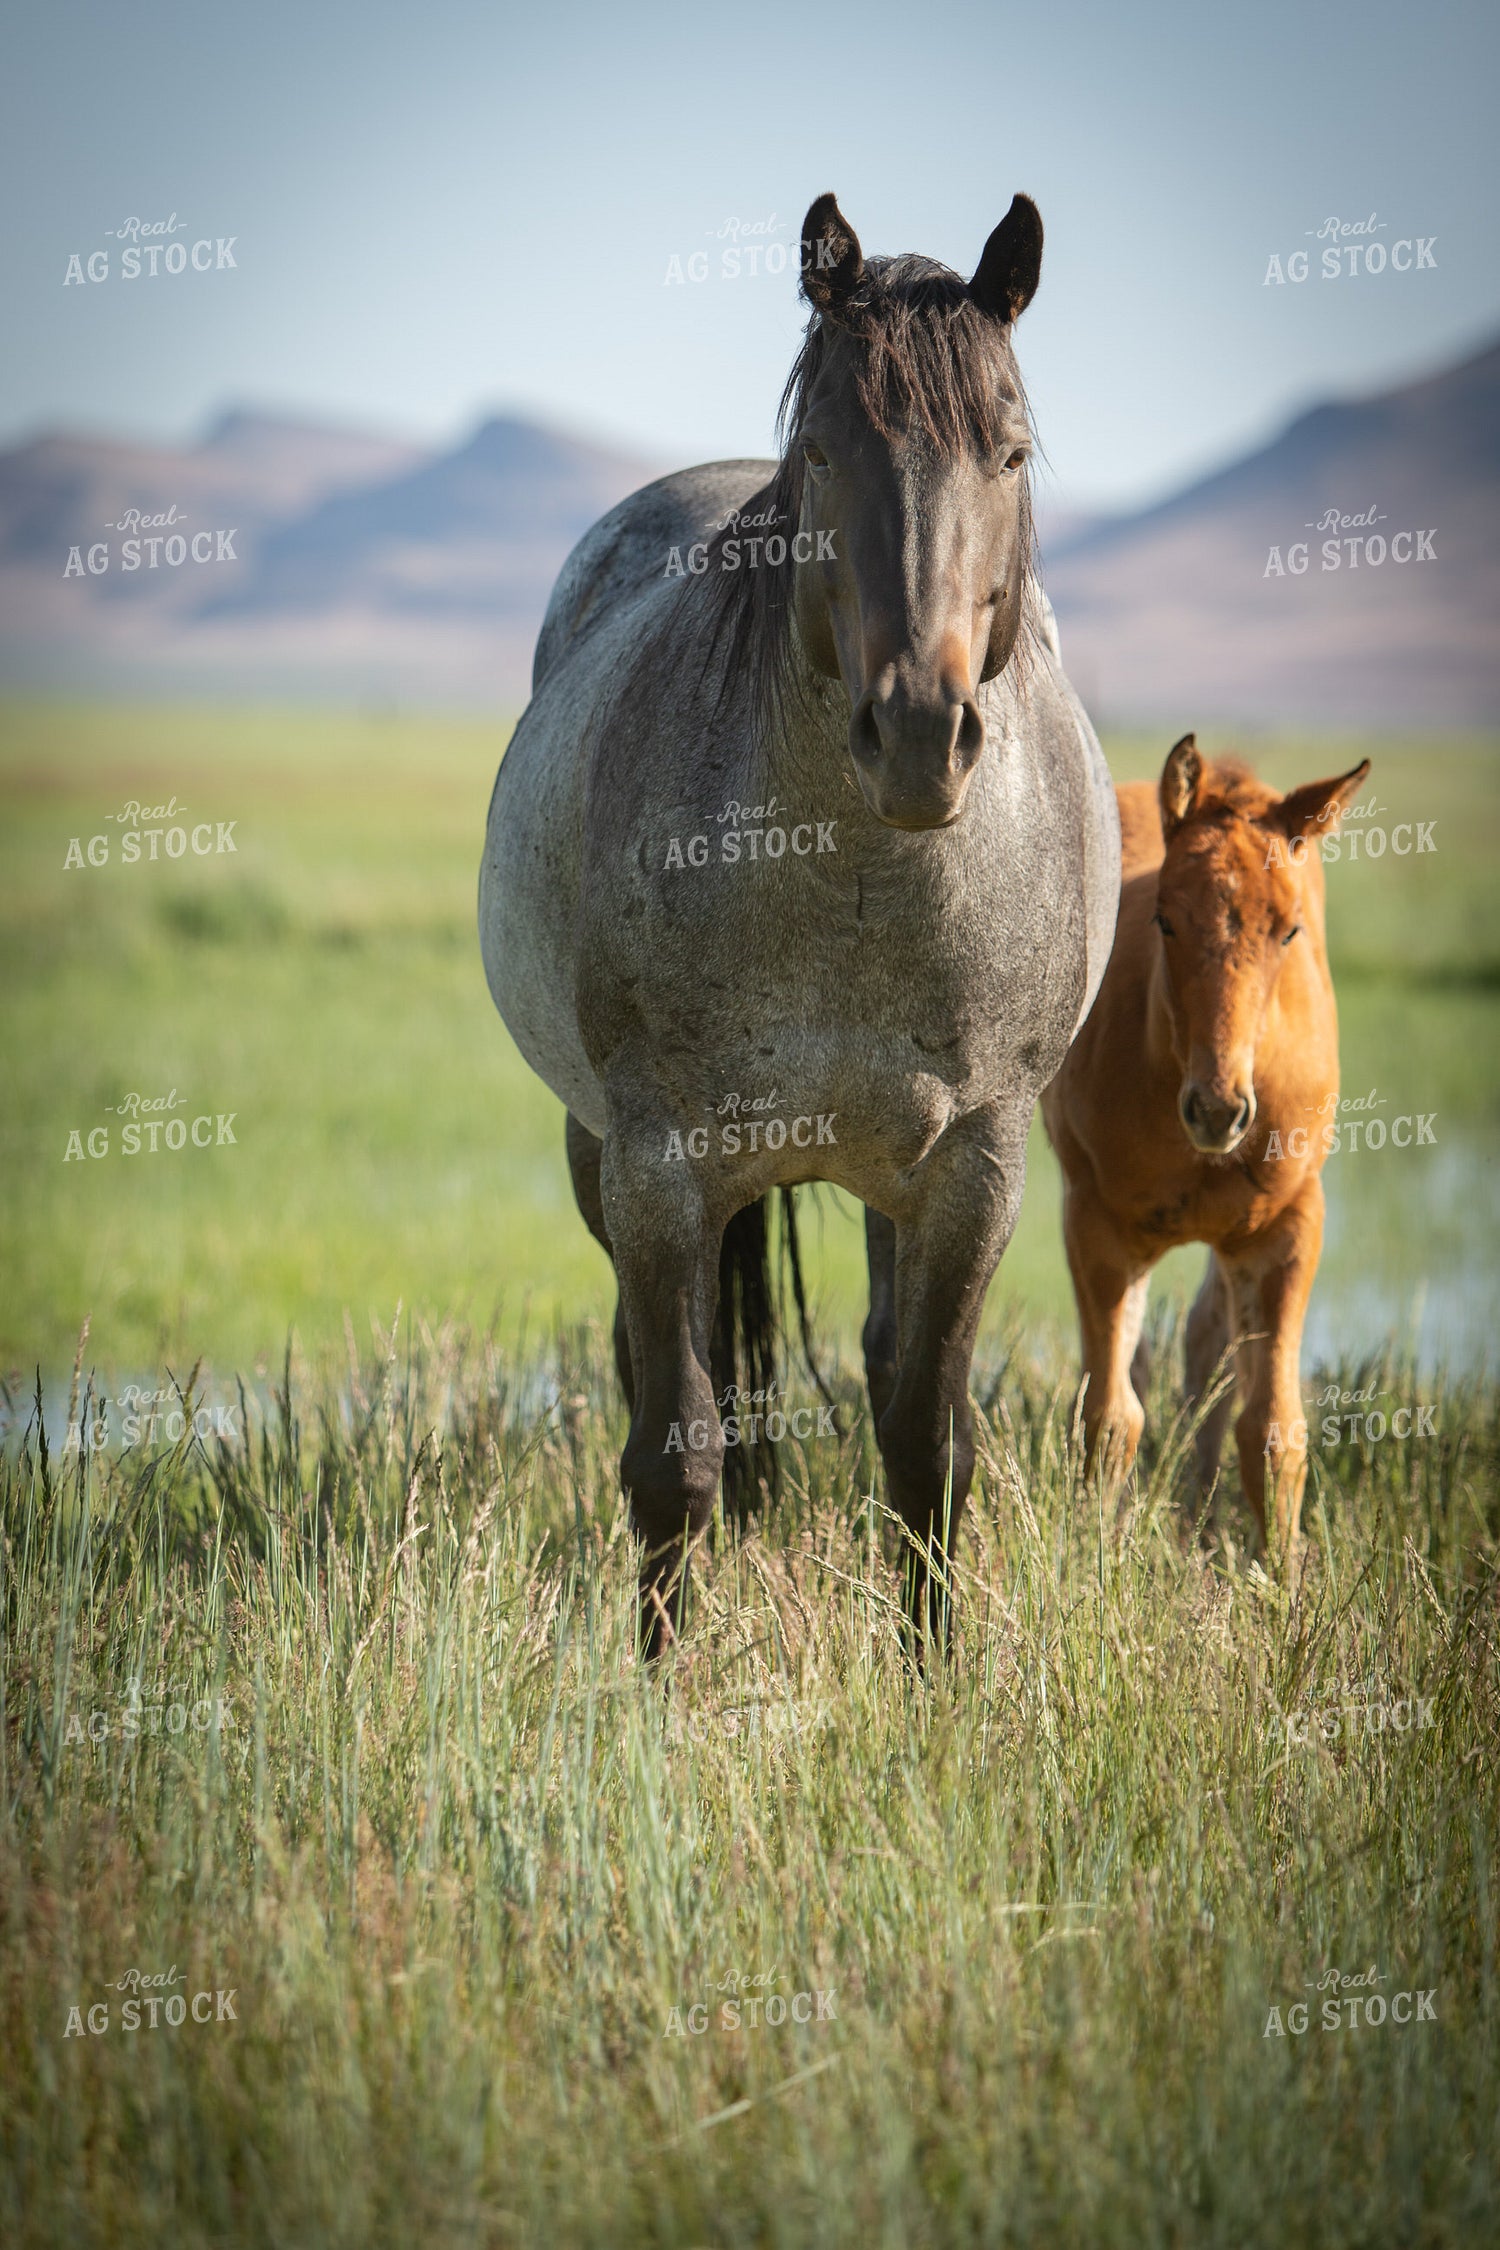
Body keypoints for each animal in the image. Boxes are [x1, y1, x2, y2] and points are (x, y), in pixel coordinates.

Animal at [480, 191, 1120, 1655]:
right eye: (824, 451)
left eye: (1009, 450)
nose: (922, 733)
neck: (854, 882)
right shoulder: (657, 1169)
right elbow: (674, 1454)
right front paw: (660, 1683)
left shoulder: (975, 1171)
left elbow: (929, 1442)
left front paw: (934, 1677)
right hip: (601, 1160)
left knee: (882, 1363)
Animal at [1041, 734, 1370, 1559]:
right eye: (1163, 919)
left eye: (1289, 929)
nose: (1218, 1110)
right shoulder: (1098, 1227)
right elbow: (1110, 1420)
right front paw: (1097, 1561)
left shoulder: (1285, 1228)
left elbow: (1274, 1431)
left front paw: (1282, 1580)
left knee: (1206, 1343)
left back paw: (1197, 1509)